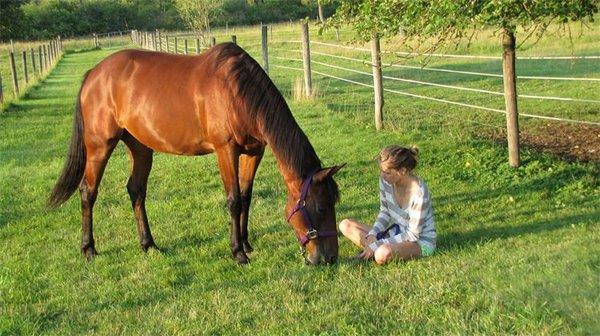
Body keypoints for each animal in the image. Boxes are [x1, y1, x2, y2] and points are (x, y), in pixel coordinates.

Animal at [48, 43, 342, 266]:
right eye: (319, 207)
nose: (329, 258)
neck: (238, 91)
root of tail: (94, 74)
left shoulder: (254, 152)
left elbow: (247, 197)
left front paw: (247, 243)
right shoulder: (226, 150)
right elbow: (234, 200)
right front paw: (238, 253)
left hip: (140, 147)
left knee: (136, 190)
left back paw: (149, 244)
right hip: (99, 145)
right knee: (88, 192)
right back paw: (89, 249)